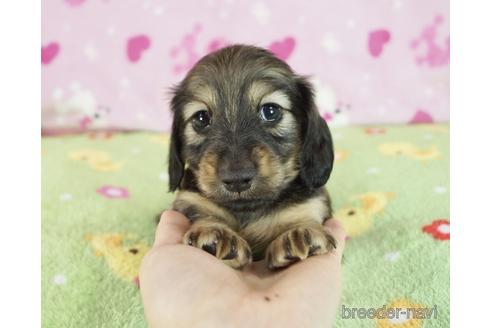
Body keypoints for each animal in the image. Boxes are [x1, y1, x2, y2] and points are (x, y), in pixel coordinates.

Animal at [168, 44, 334, 270]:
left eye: (270, 111)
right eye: (201, 118)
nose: (237, 178)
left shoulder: (310, 204)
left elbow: (301, 217)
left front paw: (299, 231)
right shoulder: (190, 202)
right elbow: (205, 214)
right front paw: (215, 230)